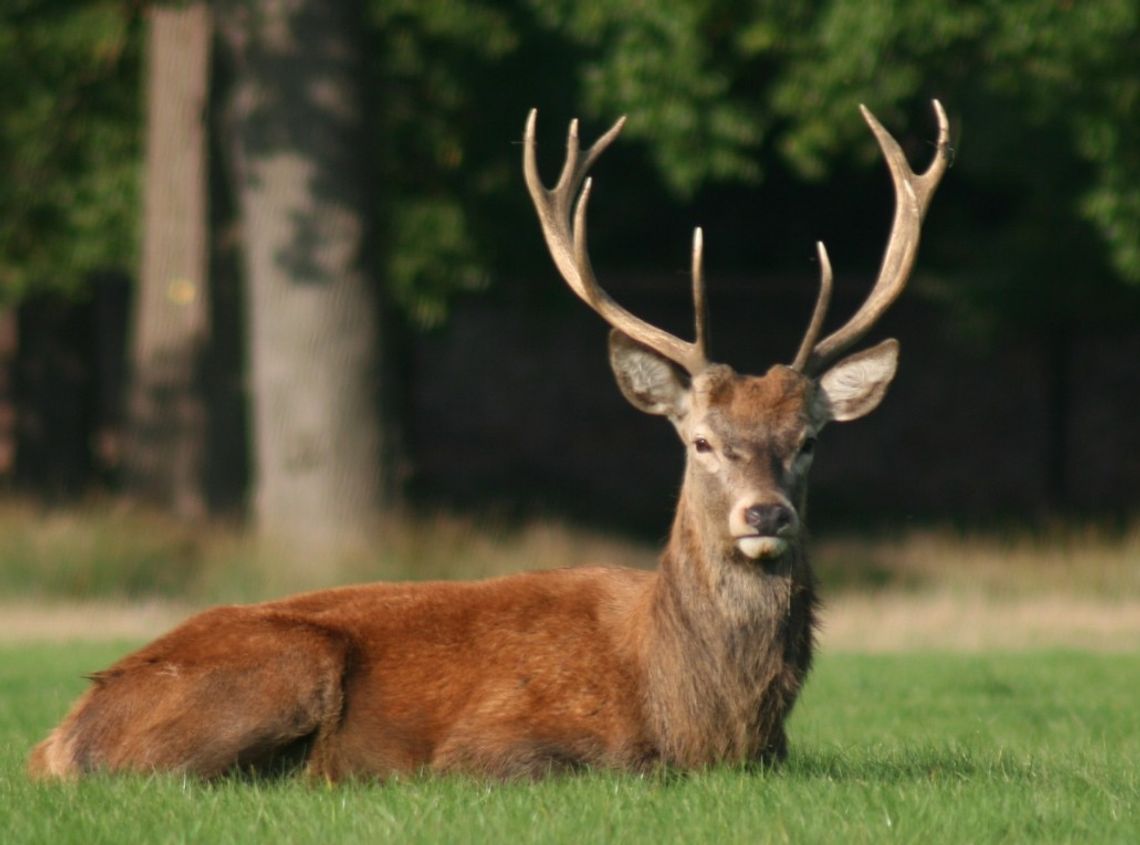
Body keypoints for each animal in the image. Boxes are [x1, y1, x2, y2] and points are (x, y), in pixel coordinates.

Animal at [31, 102, 948, 779]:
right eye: (700, 440)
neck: (701, 717)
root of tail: (56, 736)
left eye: (809, 439)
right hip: (282, 665)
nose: (764, 515)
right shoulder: (496, 741)